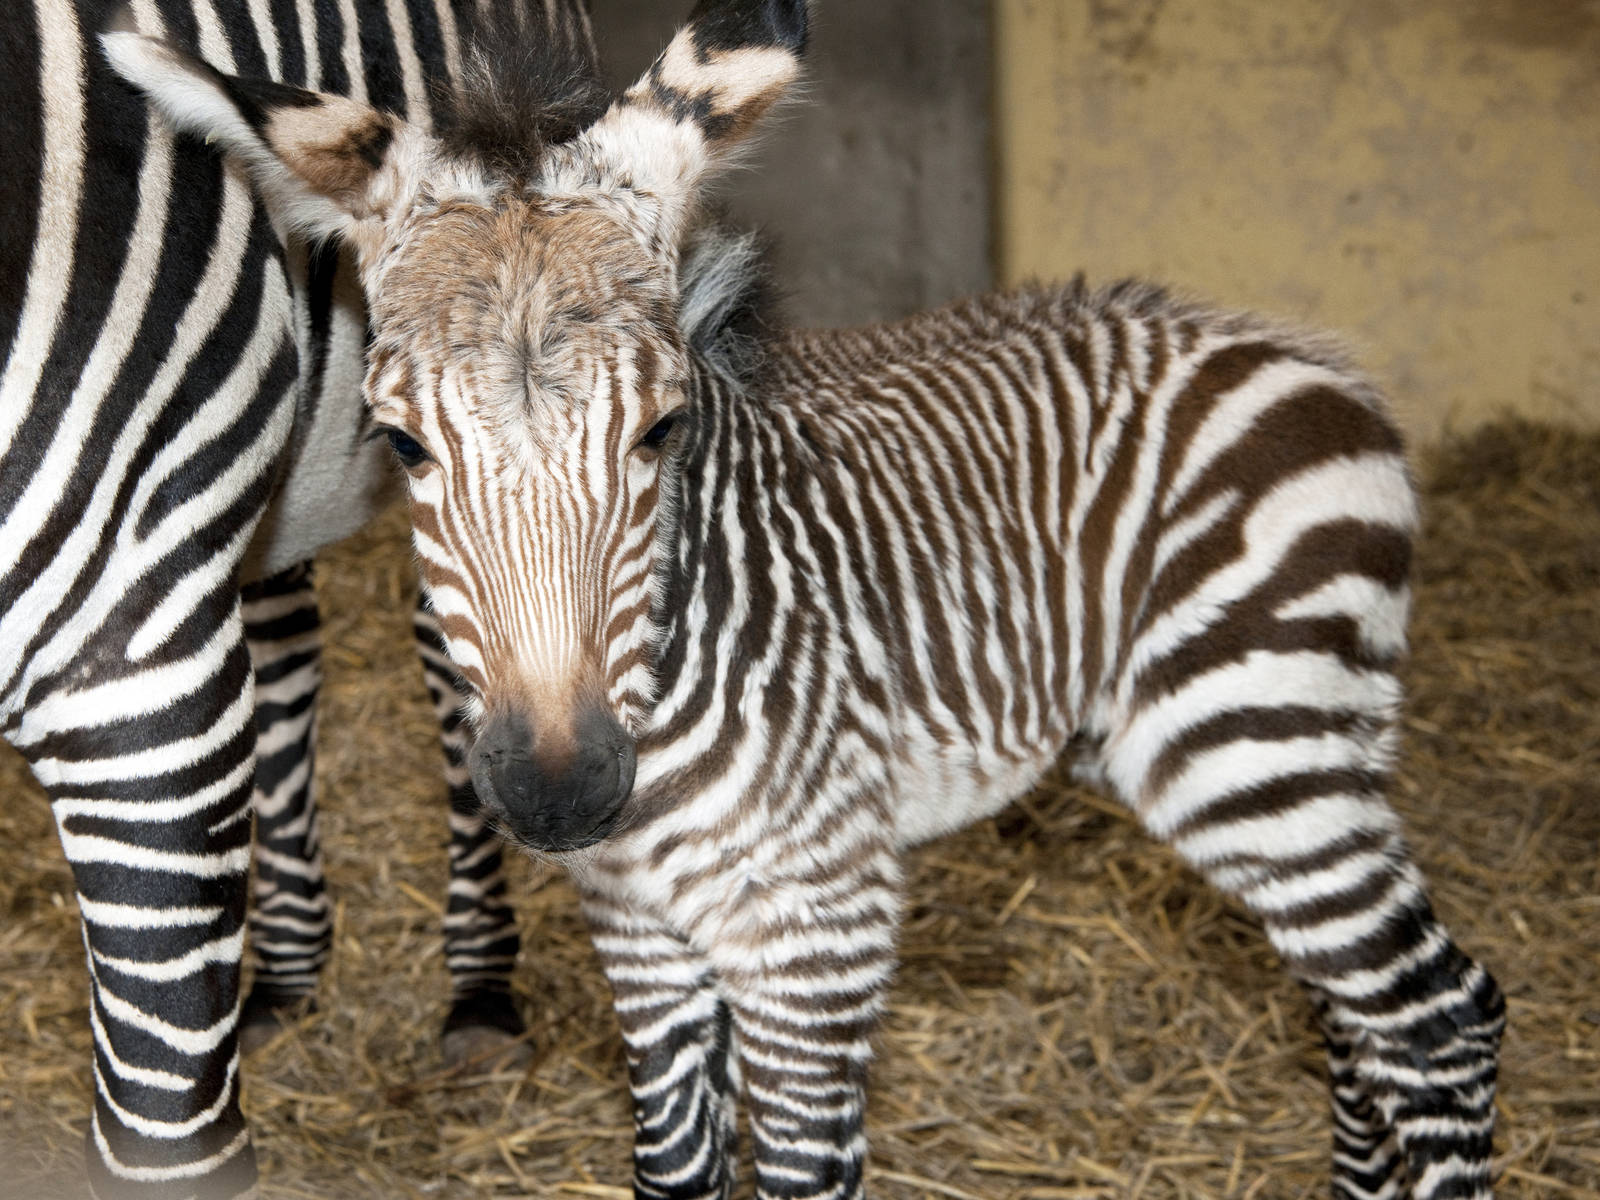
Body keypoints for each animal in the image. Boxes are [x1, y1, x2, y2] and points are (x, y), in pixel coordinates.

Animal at [3, 0, 594, 1194]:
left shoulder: (130, 691)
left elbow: (167, 1132)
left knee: (458, 662)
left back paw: (481, 991)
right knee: (284, 656)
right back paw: (279, 967)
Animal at [108, 0, 1507, 1196]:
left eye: (663, 429)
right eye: (402, 446)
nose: (563, 795)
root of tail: (1311, 364)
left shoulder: (816, 937)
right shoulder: (646, 946)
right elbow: (673, 1167)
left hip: (1252, 743)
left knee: (1442, 1022)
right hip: (1272, 759)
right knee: (1359, 1017)